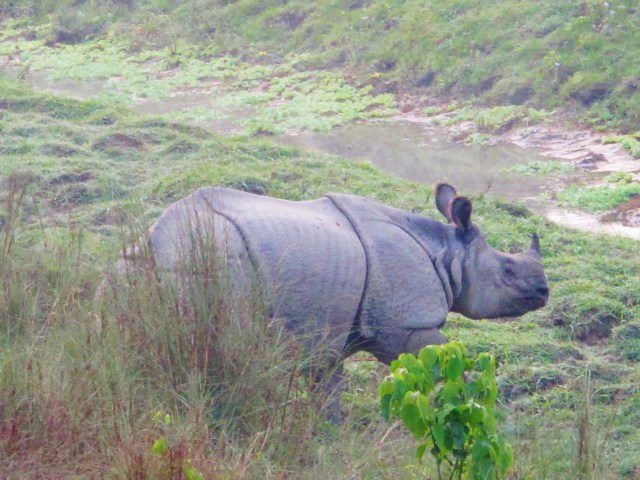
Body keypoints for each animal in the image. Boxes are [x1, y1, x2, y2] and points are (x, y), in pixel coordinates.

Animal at [103, 183, 548, 417]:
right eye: (508, 271)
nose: (544, 292)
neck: (447, 254)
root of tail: (158, 240)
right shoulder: (405, 325)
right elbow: (452, 359)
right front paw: (479, 406)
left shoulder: (327, 332)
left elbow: (327, 384)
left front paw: (333, 427)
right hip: (210, 265)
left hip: (130, 268)